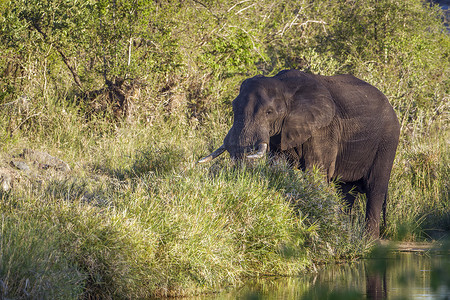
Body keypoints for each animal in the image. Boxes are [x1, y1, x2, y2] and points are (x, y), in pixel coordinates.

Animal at [199, 69, 400, 238]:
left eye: (269, 112)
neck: (284, 86)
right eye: (233, 107)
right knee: (345, 192)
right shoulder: (279, 135)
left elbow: (316, 173)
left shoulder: (324, 129)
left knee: (375, 189)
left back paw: (369, 242)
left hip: (388, 140)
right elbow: (279, 167)